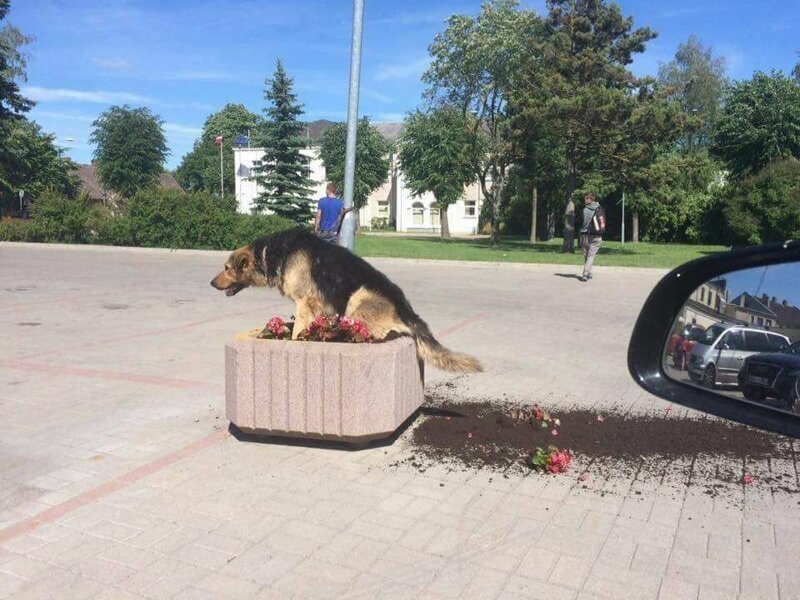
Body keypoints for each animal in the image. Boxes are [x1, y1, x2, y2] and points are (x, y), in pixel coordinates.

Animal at [209, 229, 482, 372]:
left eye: (226, 268)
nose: (211, 283)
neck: (269, 254)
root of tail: (407, 309)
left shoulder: (304, 302)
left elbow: (297, 332)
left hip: (359, 296)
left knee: (378, 334)